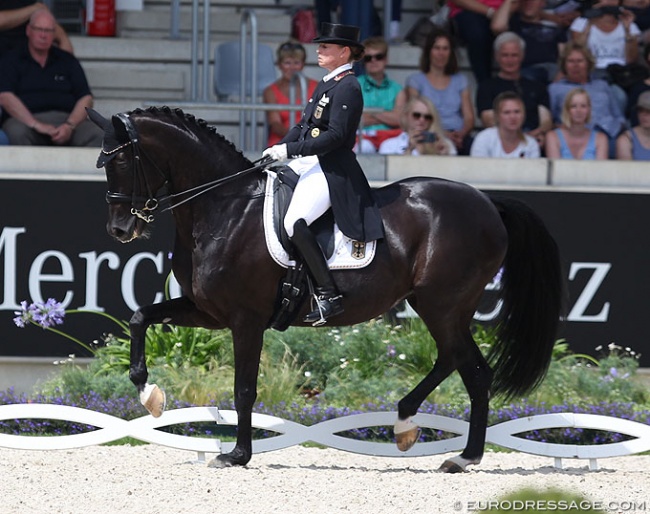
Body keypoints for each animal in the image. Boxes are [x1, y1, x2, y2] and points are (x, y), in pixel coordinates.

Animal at [86, 107, 560, 472]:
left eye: (122, 163)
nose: (120, 230)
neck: (225, 209)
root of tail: (488, 203)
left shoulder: (245, 320)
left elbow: (244, 389)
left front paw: (237, 454)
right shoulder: (208, 312)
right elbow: (140, 316)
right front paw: (149, 394)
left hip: (443, 304)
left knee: (474, 372)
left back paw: (461, 456)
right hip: (437, 306)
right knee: (454, 360)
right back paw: (409, 426)